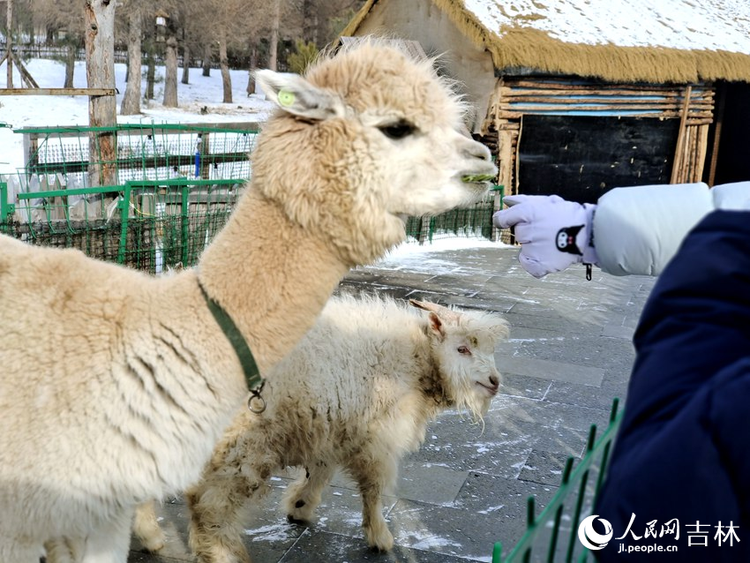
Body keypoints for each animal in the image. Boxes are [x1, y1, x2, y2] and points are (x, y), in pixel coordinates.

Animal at [184, 298, 512, 560]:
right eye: (462, 349)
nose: (494, 381)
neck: (414, 359)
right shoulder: (378, 440)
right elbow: (374, 489)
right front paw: (379, 536)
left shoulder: (331, 428)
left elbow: (320, 471)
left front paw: (300, 506)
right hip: (241, 445)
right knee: (211, 504)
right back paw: (221, 553)